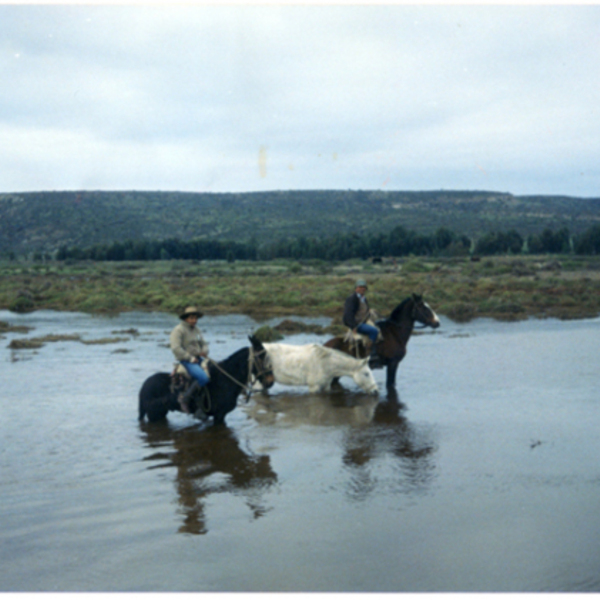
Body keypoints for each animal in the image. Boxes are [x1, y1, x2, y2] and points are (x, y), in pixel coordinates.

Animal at [138, 336, 274, 424]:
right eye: (262, 357)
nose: (271, 381)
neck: (226, 380)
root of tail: (145, 385)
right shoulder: (219, 415)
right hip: (154, 415)